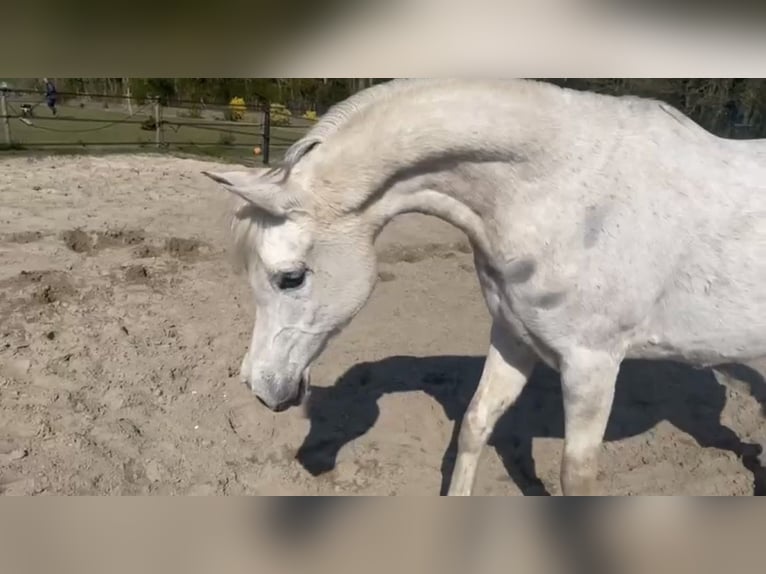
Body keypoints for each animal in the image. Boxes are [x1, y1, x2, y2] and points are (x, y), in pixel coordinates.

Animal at [202, 78, 766, 495]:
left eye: (290, 277)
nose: (261, 387)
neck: (560, 193)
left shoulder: (592, 365)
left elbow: (576, 475)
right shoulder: (514, 337)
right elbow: (475, 425)